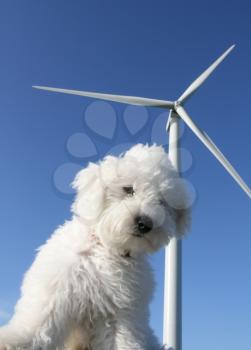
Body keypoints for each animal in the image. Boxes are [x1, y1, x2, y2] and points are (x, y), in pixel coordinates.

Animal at [0, 144, 189, 348]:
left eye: (162, 202)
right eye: (128, 189)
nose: (145, 223)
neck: (107, 249)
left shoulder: (122, 315)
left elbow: (121, 341)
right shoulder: (53, 291)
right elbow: (37, 326)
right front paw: (11, 341)